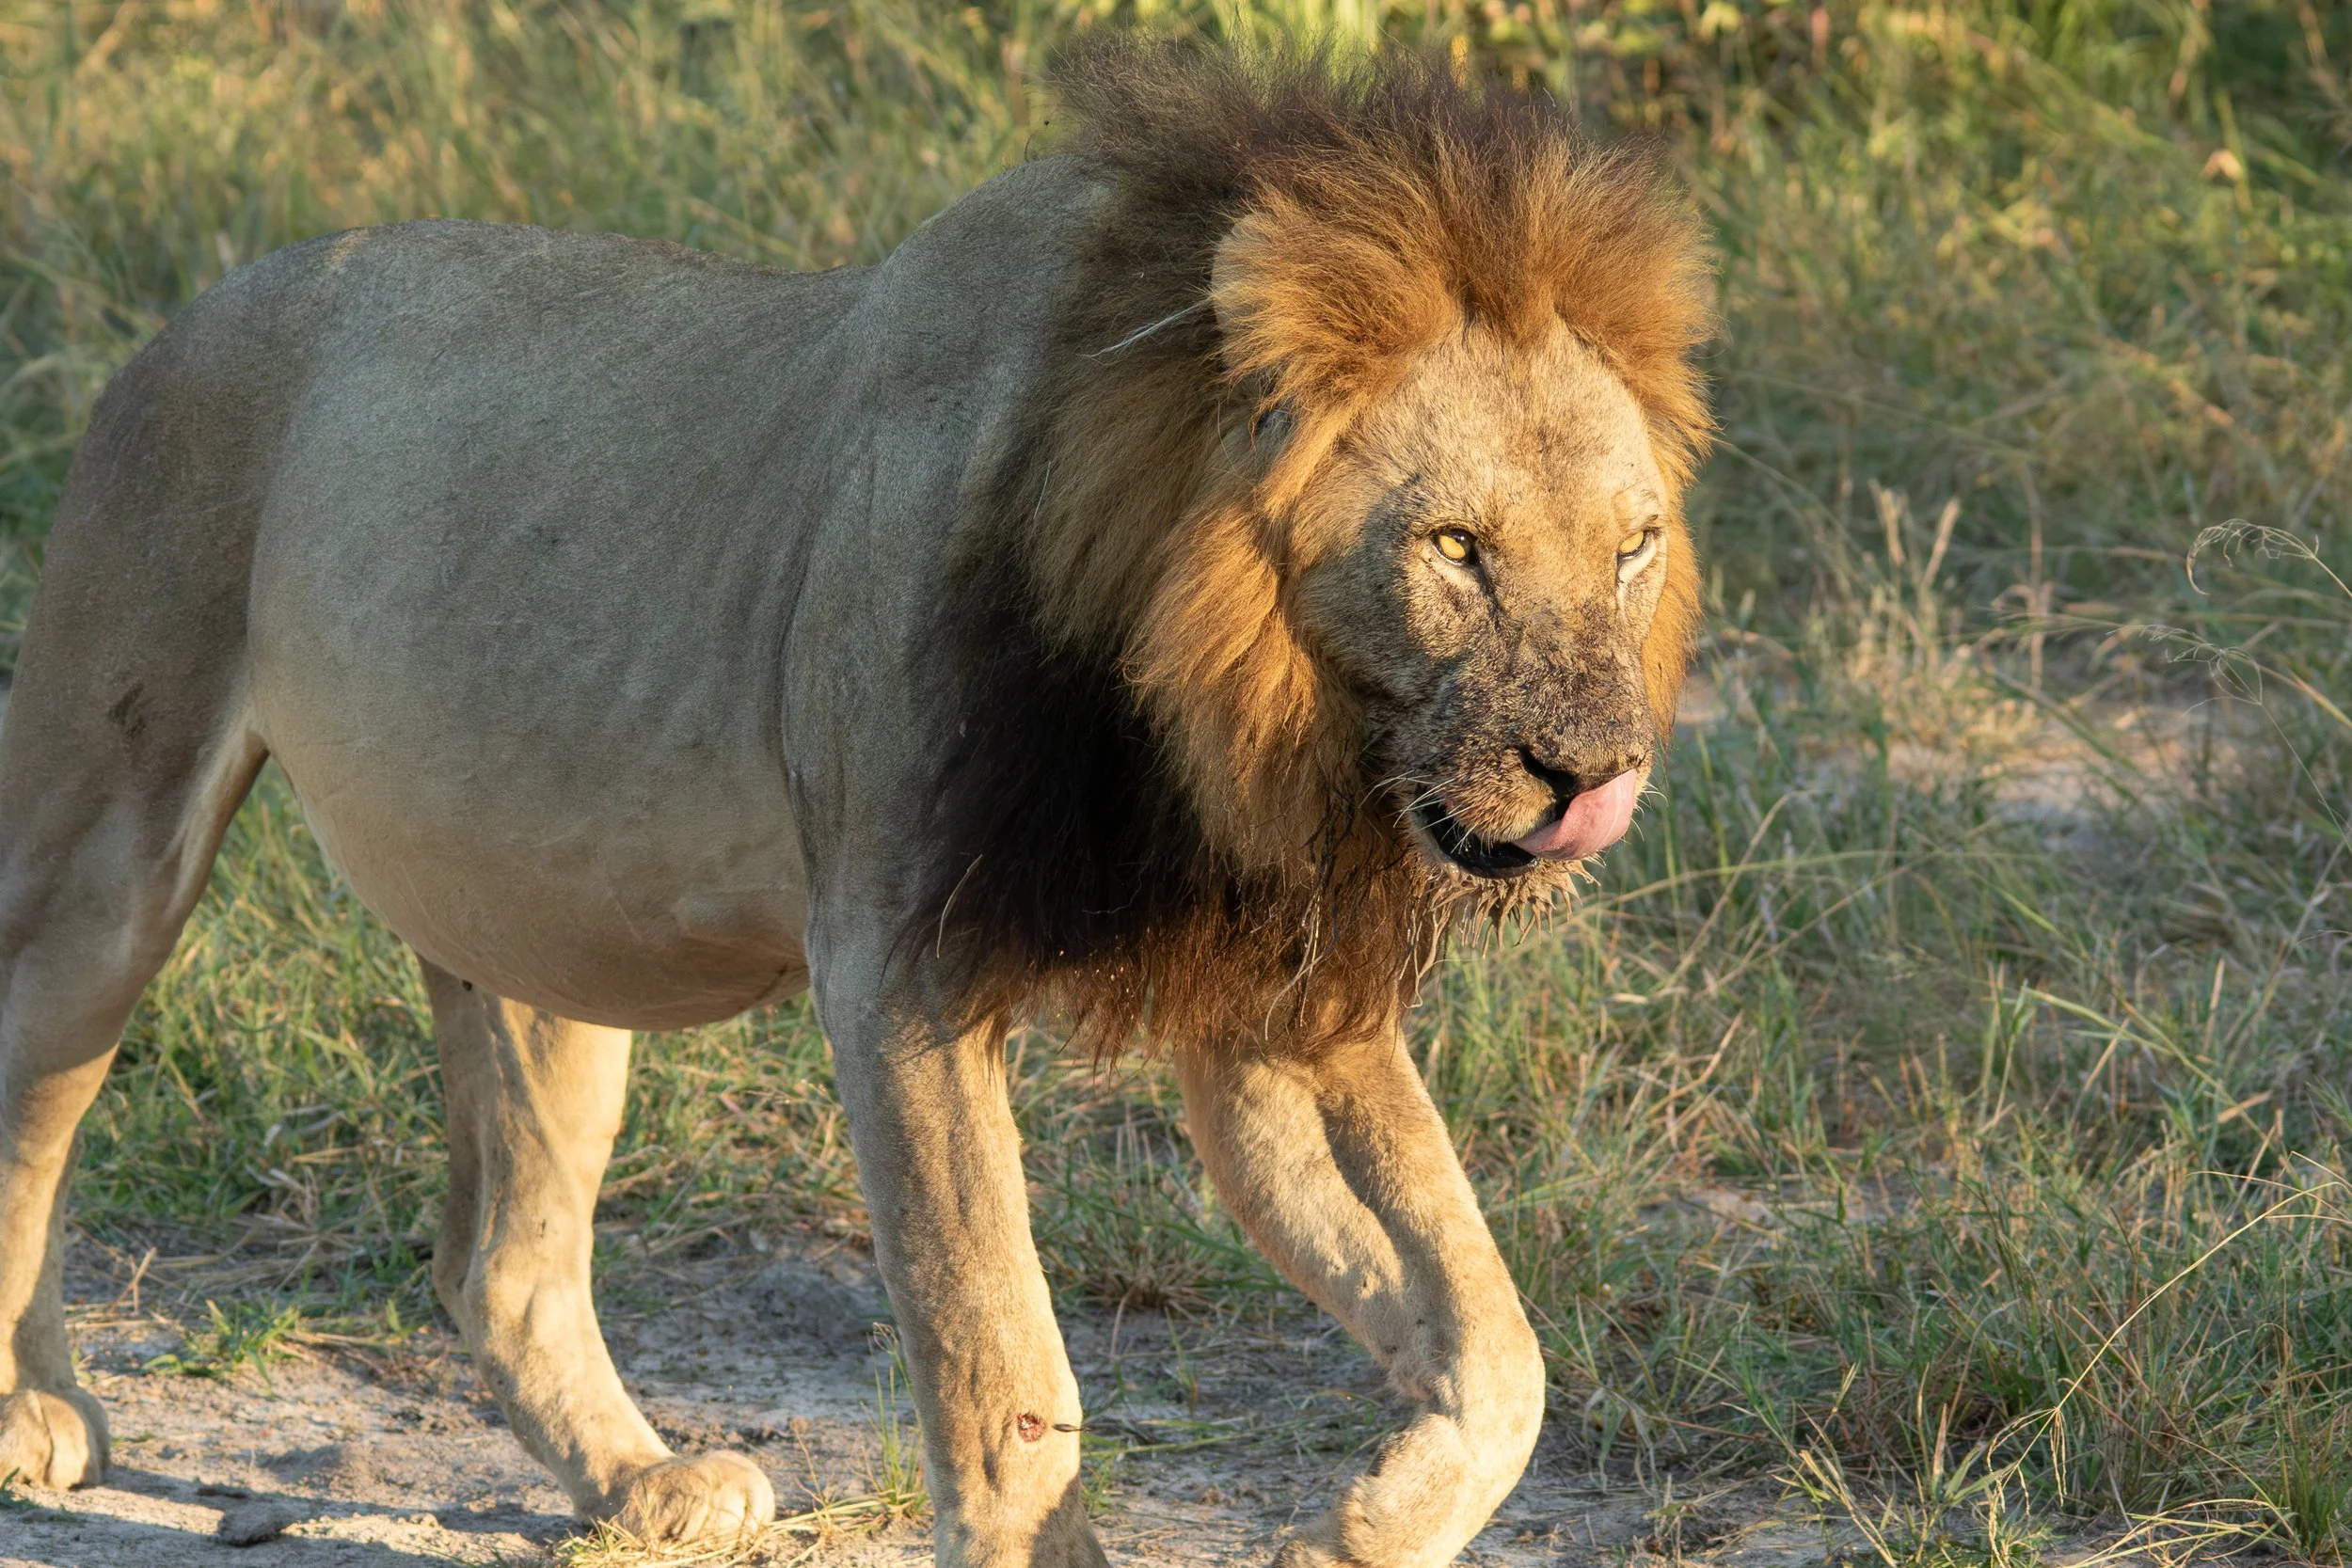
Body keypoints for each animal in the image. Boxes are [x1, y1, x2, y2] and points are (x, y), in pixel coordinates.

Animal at [0, 43, 1709, 1568]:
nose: (1597, 774)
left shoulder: (1273, 1003)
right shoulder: (901, 958)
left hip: (543, 931)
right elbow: (1000, 1352)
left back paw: (642, 1480)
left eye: (1630, 546)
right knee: (39, 1090)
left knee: (497, 1260)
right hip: (108, 825)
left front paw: (1357, 1526)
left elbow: (1493, 1335)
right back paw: (35, 1412)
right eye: (1456, 548)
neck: (1231, 705)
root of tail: (200, 304)